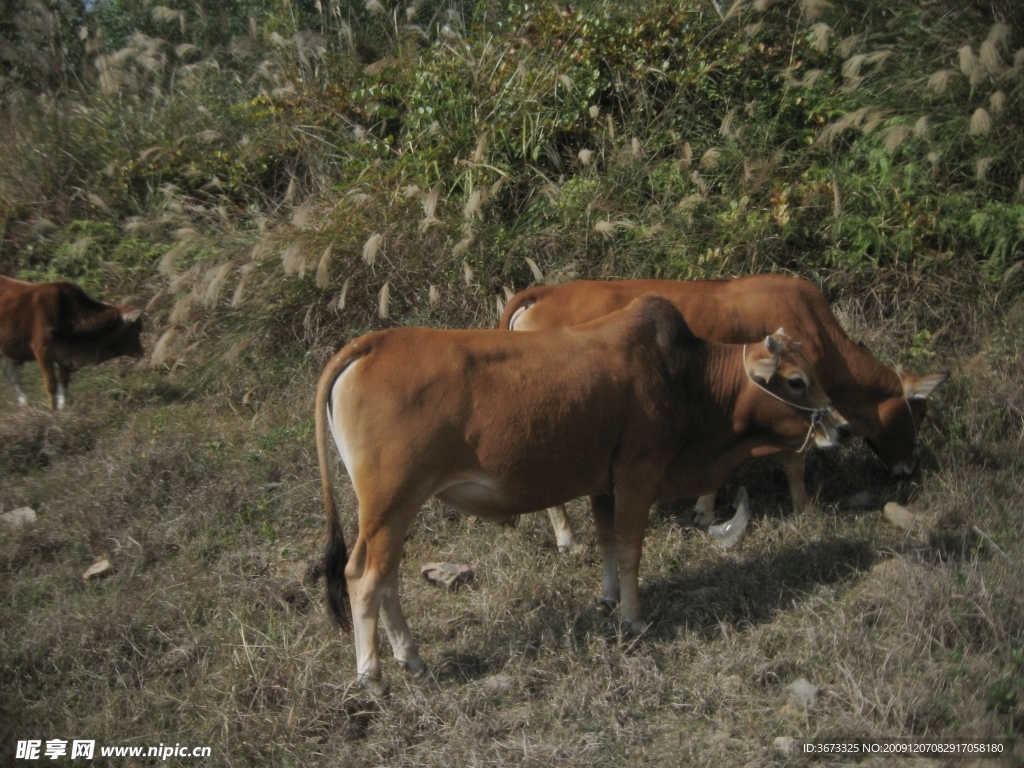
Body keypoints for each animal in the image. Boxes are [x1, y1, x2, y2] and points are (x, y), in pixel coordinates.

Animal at [0, 274, 145, 409]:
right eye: (137, 329)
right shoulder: (42, 350)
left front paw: (62, 406)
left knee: (12, 374)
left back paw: (25, 404)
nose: (141, 352)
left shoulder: (66, 355)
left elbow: (64, 381)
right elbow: (51, 383)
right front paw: (52, 409)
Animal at [499, 276, 946, 552]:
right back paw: (567, 538)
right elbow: (794, 462)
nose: (909, 469)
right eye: (921, 414)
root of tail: (547, 292)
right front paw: (804, 507)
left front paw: (705, 508)